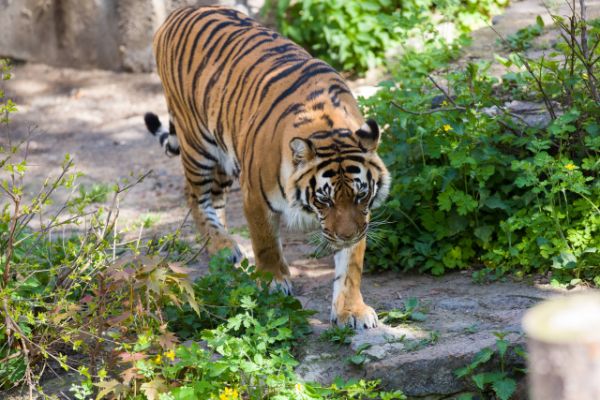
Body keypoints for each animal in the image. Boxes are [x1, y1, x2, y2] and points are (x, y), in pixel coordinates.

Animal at [143, 4, 392, 328]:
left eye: (360, 195)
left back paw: (226, 245)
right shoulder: (255, 198)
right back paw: (221, 246)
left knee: (216, 198)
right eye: (324, 200)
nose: (347, 236)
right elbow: (265, 243)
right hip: (198, 143)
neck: (327, 127)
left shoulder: (361, 215)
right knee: (194, 194)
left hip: (223, 155)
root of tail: (182, 9)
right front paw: (273, 282)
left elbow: (350, 267)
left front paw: (351, 310)